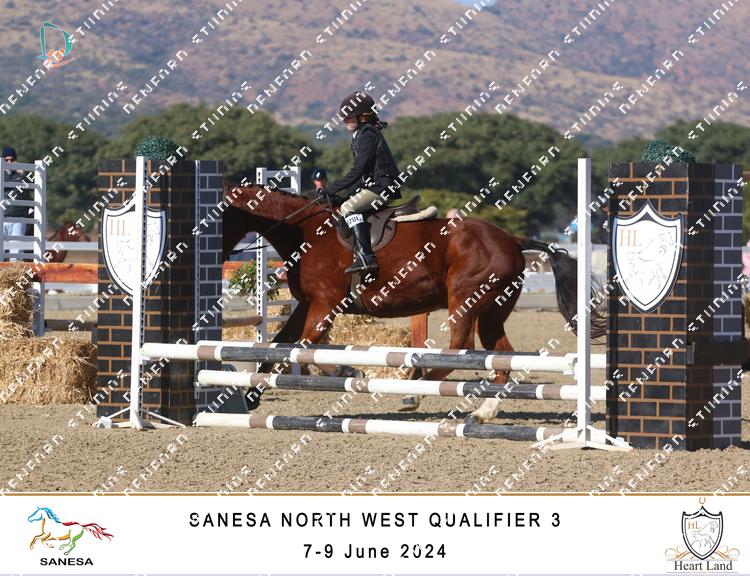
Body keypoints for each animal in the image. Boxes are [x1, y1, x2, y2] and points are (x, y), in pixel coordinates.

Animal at [223, 184, 606, 423]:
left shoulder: (323, 307)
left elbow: (300, 348)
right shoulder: (306, 305)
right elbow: (279, 344)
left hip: (463, 297)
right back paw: (483, 412)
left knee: (460, 346)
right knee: (501, 358)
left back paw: (415, 390)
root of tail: (512, 239)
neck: (306, 232)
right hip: (493, 310)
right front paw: (252, 394)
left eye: (222, 215)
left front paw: (349, 371)